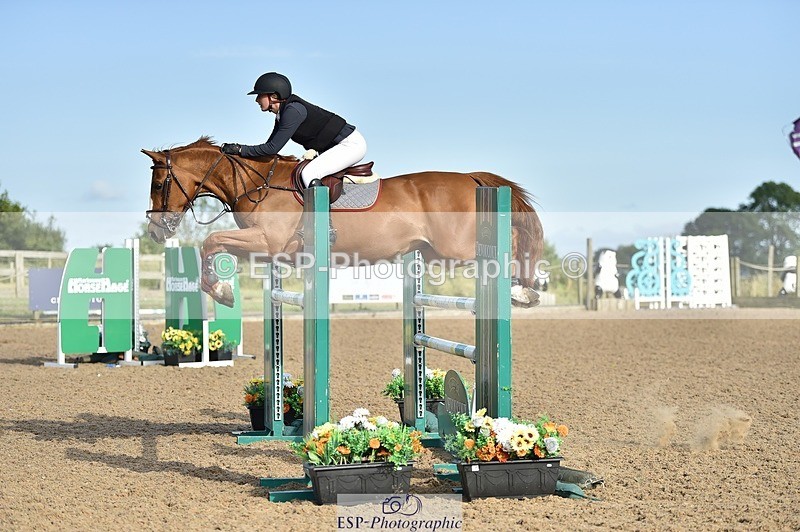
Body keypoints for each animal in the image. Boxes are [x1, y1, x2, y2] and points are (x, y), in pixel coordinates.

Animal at [143, 137, 544, 308]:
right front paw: (222, 290)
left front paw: (222, 292)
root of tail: (471, 178)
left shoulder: (267, 242)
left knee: (510, 238)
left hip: (454, 248)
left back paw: (524, 289)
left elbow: (209, 243)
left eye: (159, 184)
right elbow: (212, 246)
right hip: (434, 253)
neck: (259, 183)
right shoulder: (269, 251)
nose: (155, 231)